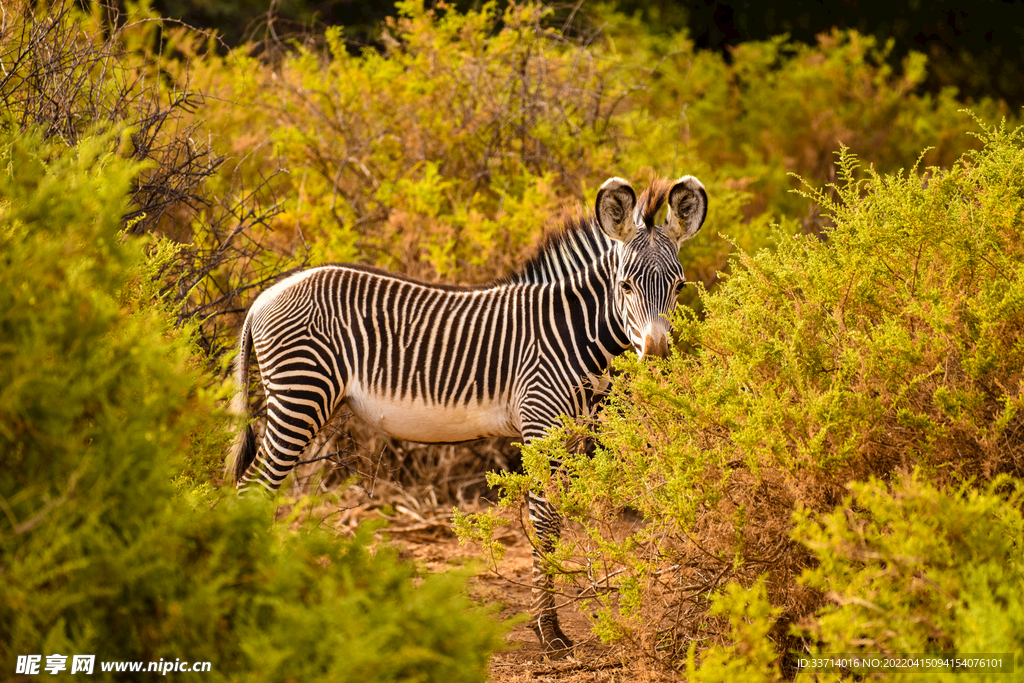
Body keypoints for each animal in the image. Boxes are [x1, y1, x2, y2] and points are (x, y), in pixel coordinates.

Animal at [228, 175, 708, 651]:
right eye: (625, 286)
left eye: (679, 287)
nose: (657, 357)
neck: (572, 331)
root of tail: (264, 297)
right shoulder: (540, 420)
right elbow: (544, 520)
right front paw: (548, 631)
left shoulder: (571, 431)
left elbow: (556, 519)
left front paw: (548, 626)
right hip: (301, 394)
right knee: (253, 487)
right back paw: (249, 603)